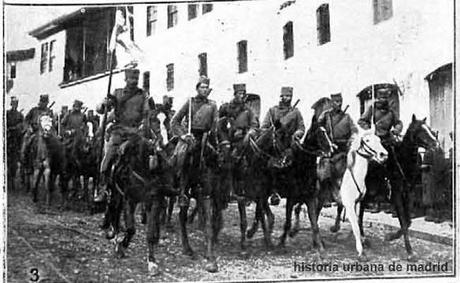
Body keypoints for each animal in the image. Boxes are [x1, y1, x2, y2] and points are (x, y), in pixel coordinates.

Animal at [336, 125, 386, 260]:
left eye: (379, 139)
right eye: (367, 140)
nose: (383, 154)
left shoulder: (358, 203)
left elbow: (358, 222)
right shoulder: (348, 205)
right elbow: (356, 226)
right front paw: (360, 250)